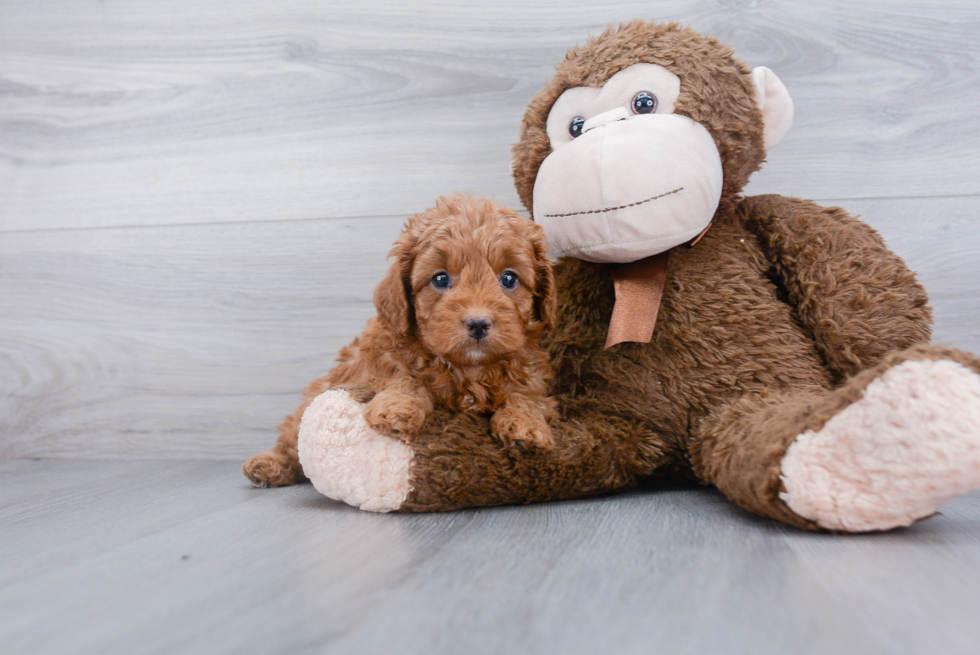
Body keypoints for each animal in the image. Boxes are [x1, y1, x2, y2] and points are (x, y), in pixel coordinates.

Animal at [242, 193, 556, 486]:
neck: (469, 369)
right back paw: (268, 465)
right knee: (291, 438)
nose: (478, 323)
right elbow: (406, 378)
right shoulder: (381, 363)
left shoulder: (530, 375)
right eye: (440, 279)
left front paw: (525, 425)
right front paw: (395, 410)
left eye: (509, 279)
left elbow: (525, 396)